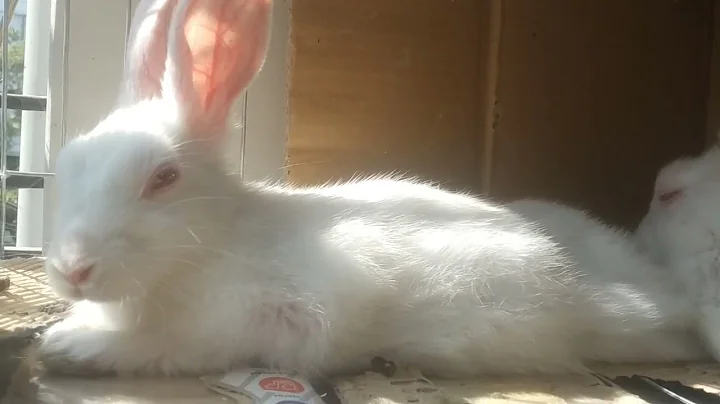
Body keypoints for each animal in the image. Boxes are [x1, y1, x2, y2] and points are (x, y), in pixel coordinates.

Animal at [37, 0, 707, 379]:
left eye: (163, 178)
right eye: (67, 166)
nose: (74, 269)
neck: (213, 244)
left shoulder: (267, 317)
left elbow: (171, 344)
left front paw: (74, 345)